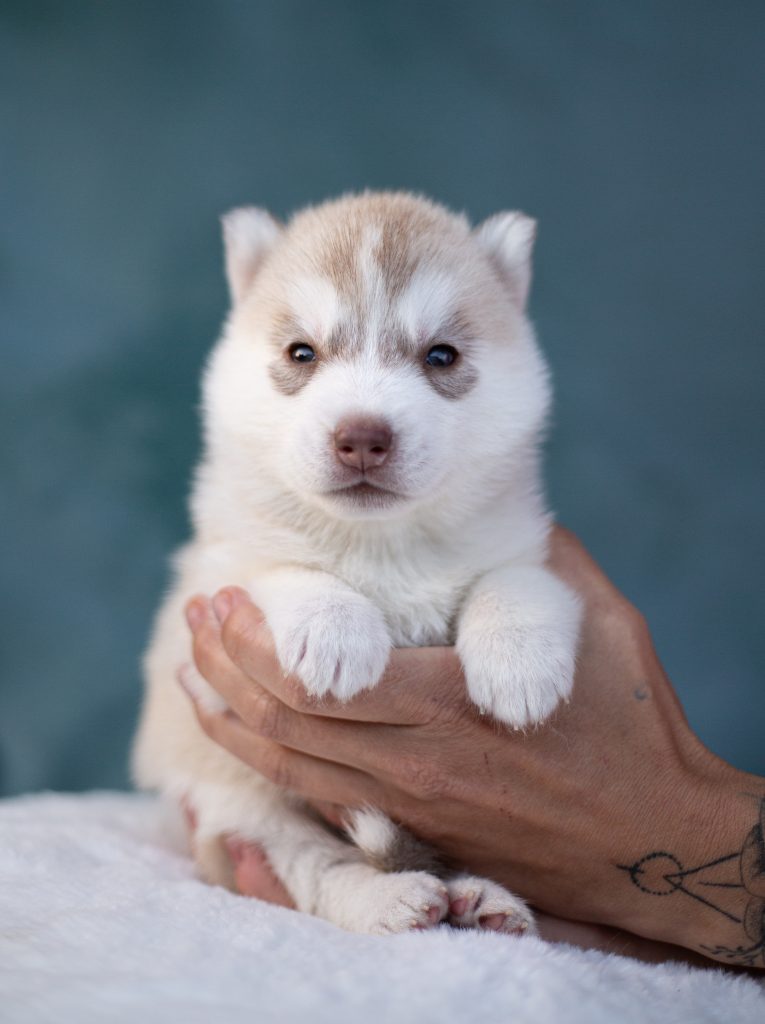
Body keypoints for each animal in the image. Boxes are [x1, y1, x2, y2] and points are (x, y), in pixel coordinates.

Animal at [132, 191, 581, 935]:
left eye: (440, 354)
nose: (363, 437)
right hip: (244, 804)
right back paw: (389, 899)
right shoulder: (208, 596)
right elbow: (274, 568)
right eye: (301, 352)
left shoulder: (522, 543)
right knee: (320, 866)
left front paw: (519, 664)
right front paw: (334, 628)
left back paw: (479, 897)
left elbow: (516, 582)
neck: (381, 543)